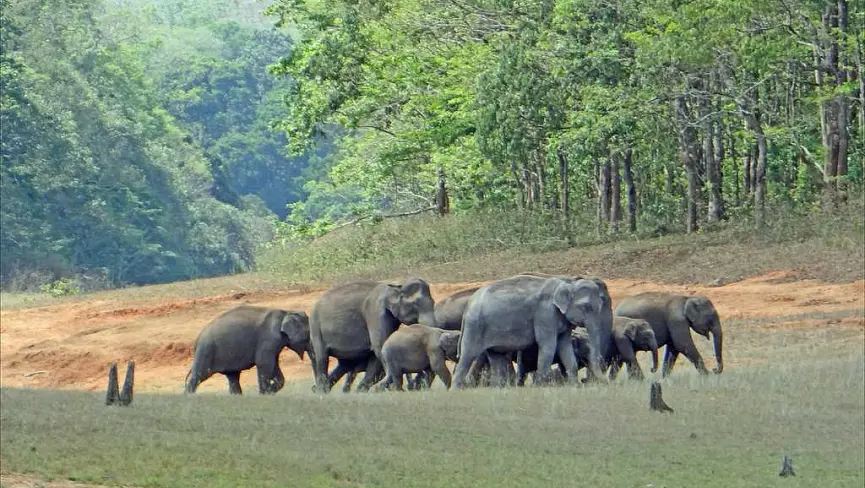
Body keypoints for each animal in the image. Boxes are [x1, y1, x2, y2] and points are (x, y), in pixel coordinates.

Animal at [309, 277, 437, 393]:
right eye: (415, 304)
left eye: (434, 302)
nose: (415, 386)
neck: (396, 285)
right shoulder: (375, 313)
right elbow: (380, 345)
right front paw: (392, 389)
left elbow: (376, 353)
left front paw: (363, 391)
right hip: (315, 328)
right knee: (322, 358)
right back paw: (321, 391)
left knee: (346, 364)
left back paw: (321, 389)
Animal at [452, 274, 606, 389]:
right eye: (586, 307)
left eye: (600, 306)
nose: (584, 381)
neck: (567, 284)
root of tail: (469, 304)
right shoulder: (545, 314)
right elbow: (548, 346)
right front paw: (542, 387)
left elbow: (565, 346)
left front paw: (574, 387)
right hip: (475, 327)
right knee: (467, 355)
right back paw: (456, 390)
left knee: (496, 357)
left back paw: (500, 388)